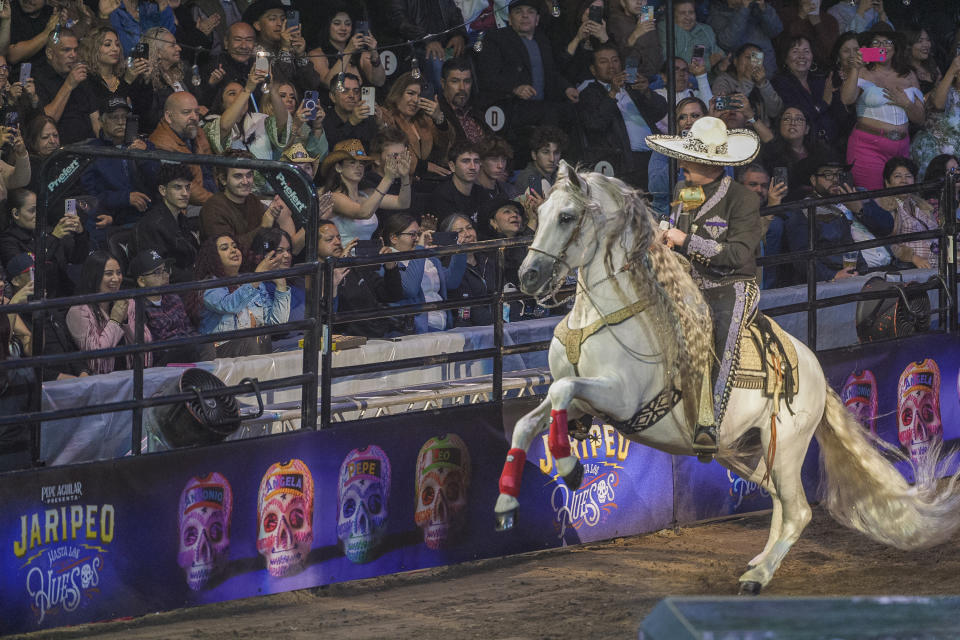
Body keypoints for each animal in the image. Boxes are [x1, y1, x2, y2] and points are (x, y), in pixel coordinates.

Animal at [496, 161, 960, 596]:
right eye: (540, 211)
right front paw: (505, 504)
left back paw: (757, 576)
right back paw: (759, 560)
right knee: (780, 503)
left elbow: (562, 389)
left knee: (799, 511)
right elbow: (527, 420)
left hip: (786, 447)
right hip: (750, 451)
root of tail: (811, 367)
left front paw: (570, 466)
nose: (528, 276)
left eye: (567, 216)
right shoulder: (583, 400)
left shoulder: (622, 399)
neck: (604, 316)